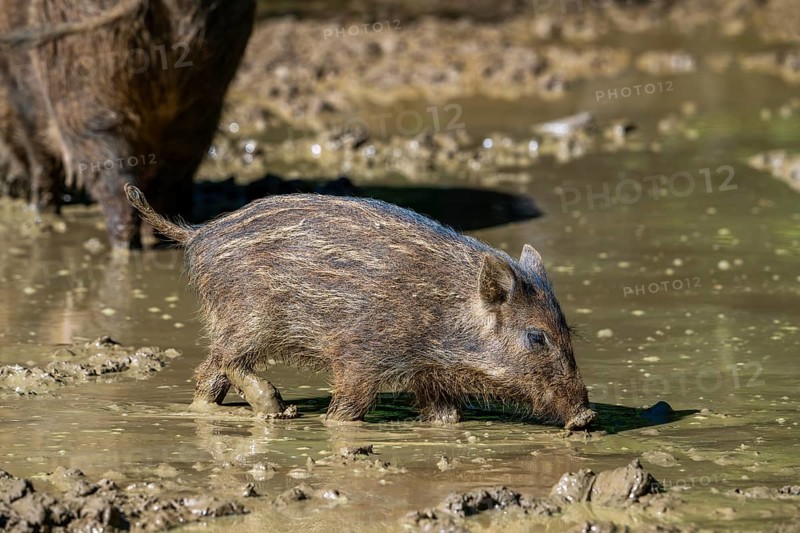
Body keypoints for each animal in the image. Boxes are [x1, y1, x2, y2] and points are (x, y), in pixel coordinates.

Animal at [0, 0, 255, 248]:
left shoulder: (25, 103)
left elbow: (41, 162)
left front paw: (39, 211)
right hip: (206, 99)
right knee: (169, 186)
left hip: (88, 98)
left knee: (116, 195)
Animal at [124, 184, 597, 429]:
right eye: (536, 337)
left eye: (567, 333)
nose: (586, 415)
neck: (444, 318)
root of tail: (197, 234)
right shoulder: (359, 358)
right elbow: (346, 412)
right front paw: (333, 424)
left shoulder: (430, 377)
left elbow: (446, 416)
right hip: (247, 318)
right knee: (224, 361)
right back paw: (276, 409)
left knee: (209, 375)